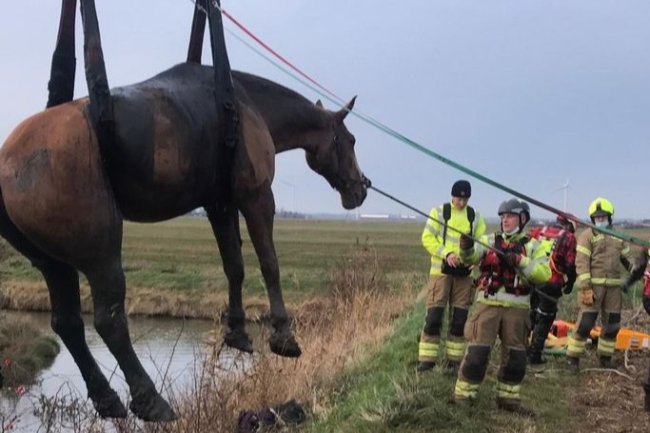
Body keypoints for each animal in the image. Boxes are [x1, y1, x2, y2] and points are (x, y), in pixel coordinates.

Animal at [0, 62, 368, 421]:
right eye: (350, 140)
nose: (361, 189)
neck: (245, 104)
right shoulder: (257, 197)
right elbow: (269, 264)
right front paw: (283, 335)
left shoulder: (219, 204)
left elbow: (234, 266)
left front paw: (237, 332)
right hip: (101, 257)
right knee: (109, 321)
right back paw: (151, 400)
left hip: (53, 264)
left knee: (68, 323)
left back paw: (107, 399)